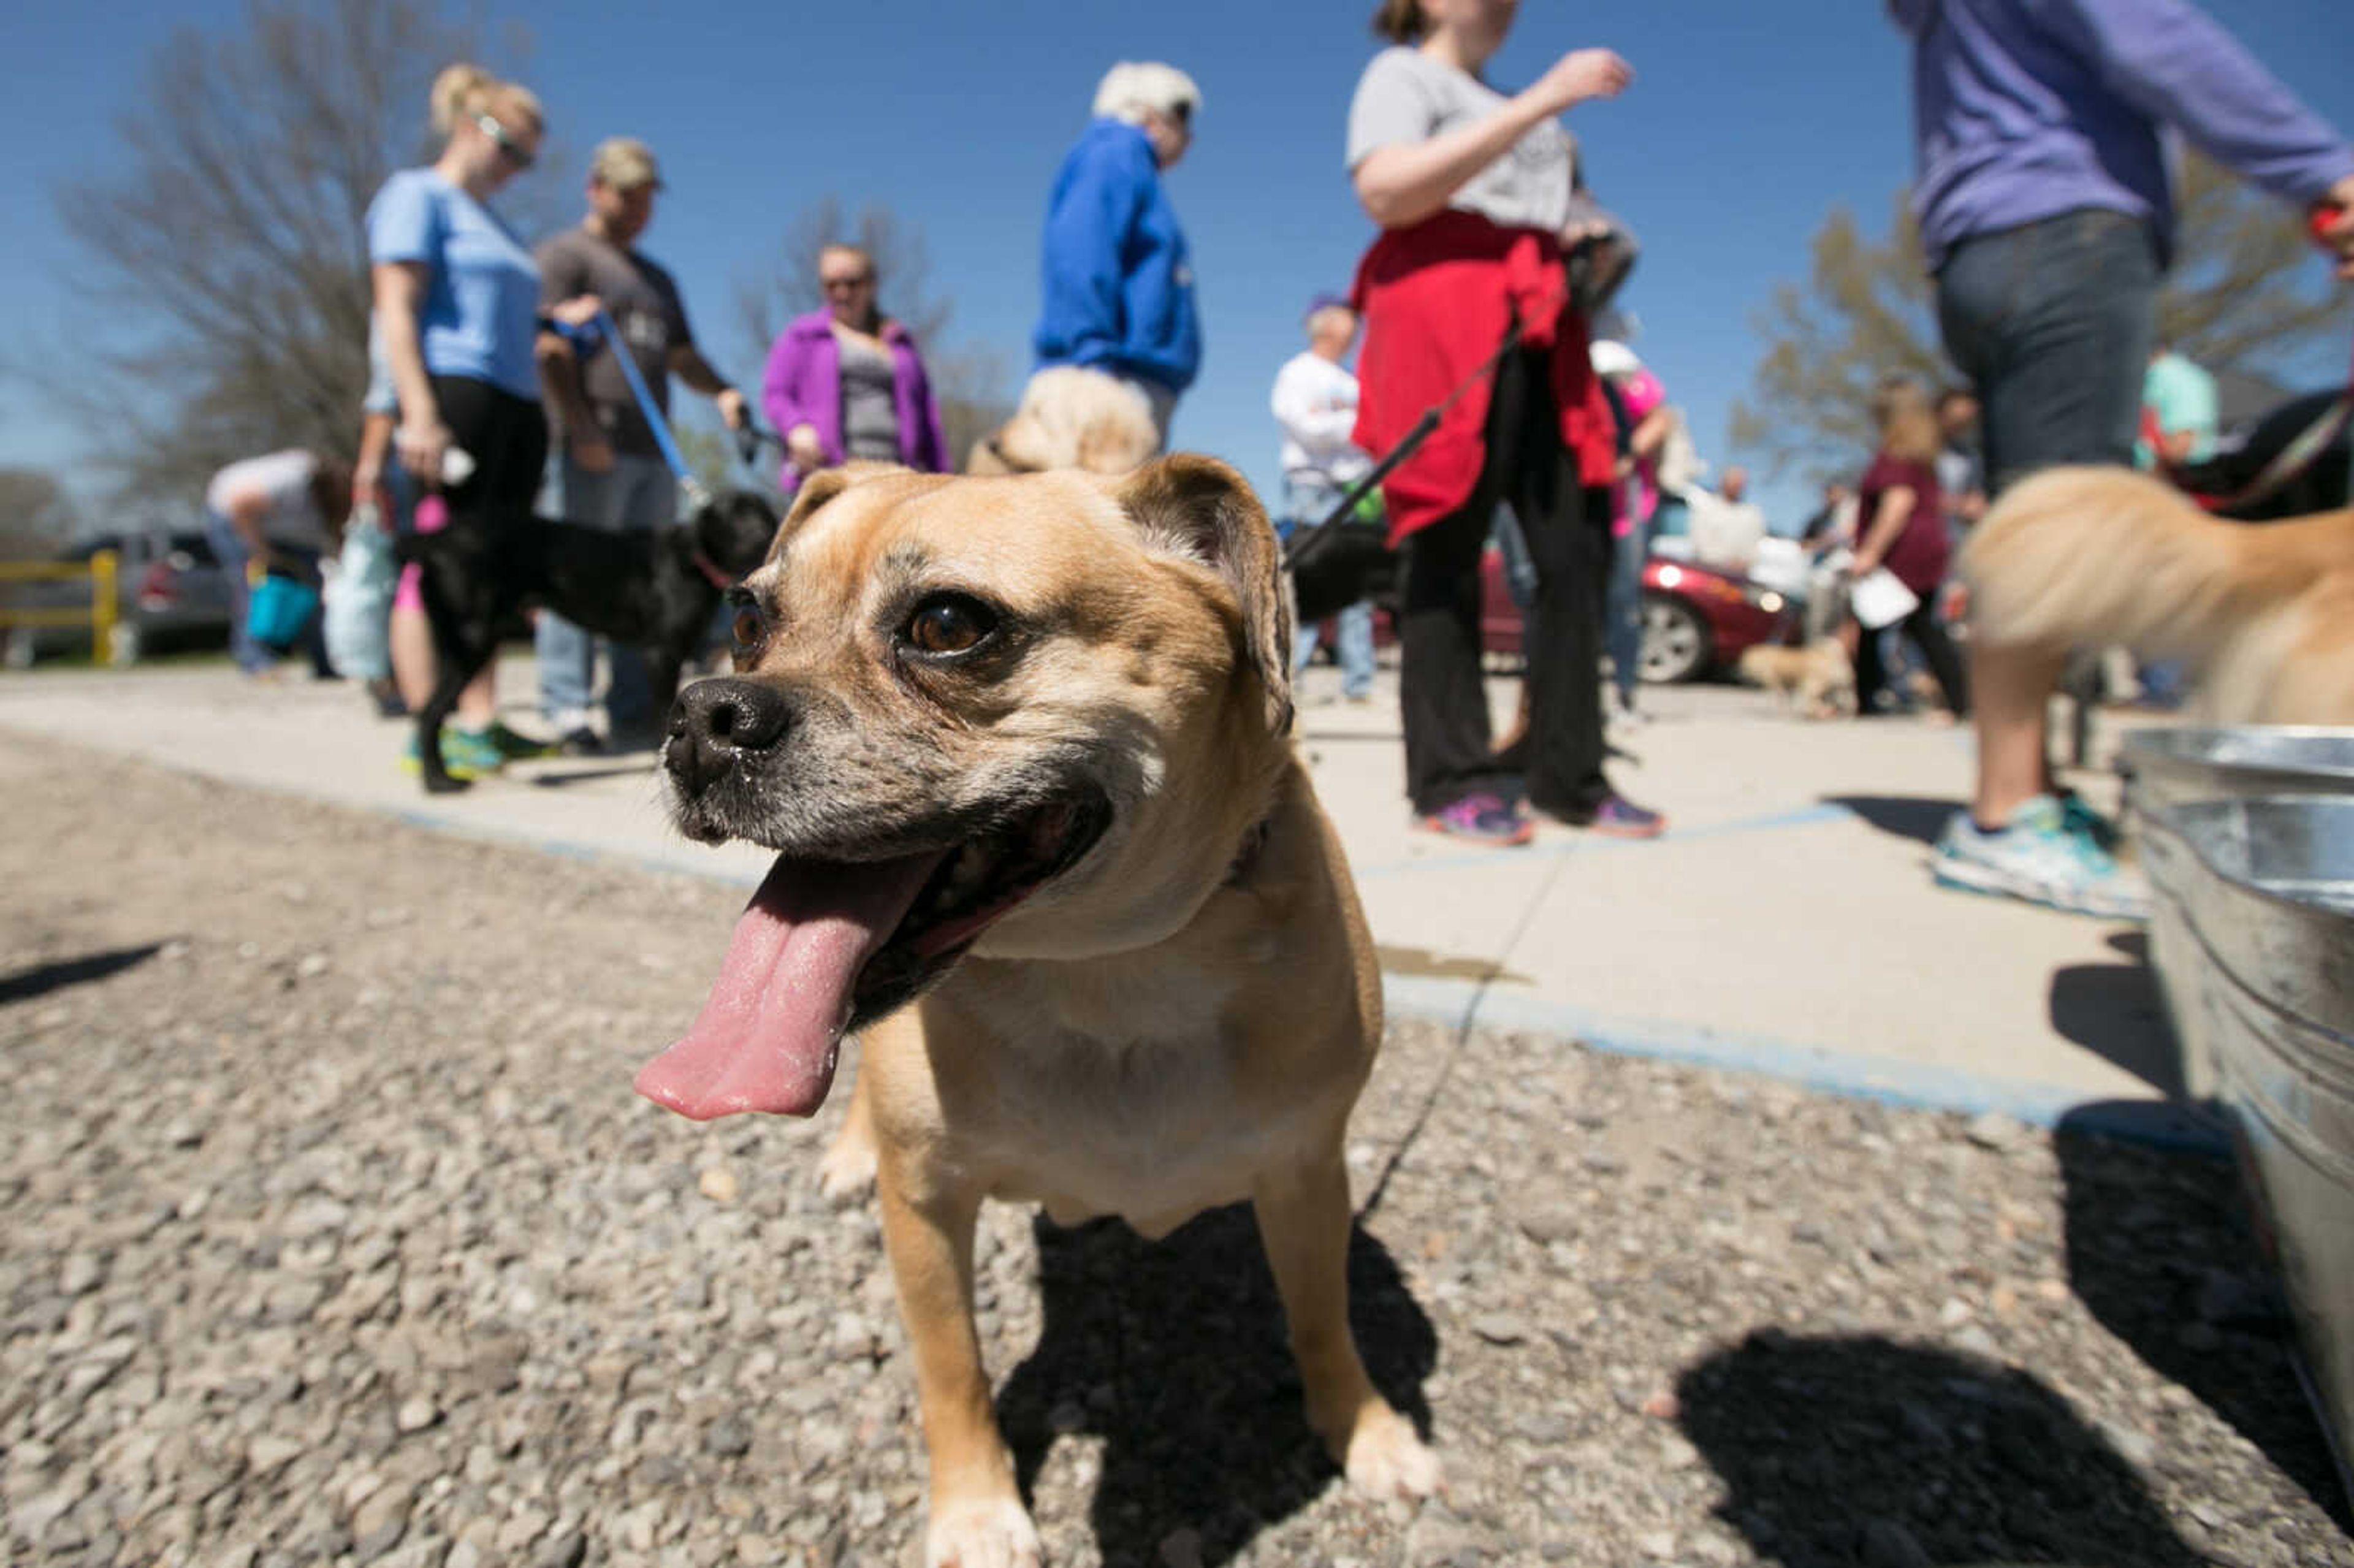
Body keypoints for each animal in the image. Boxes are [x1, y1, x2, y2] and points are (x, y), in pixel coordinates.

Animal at [400, 489, 777, 796]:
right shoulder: (661, 653)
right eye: (734, 515)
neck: (693, 558)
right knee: (430, 711)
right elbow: (663, 714)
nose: (760, 534)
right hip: (473, 639)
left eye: (763, 514)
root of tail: (437, 539)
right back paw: (438, 782)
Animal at [635, 452, 1431, 1563]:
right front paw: (977, 1509)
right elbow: (952, 1367)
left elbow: (1324, 1313)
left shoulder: (1308, 1170)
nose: (703, 715)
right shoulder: (927, 1204)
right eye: (749, 619)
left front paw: (1365, 1430)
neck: (1107, 970)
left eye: (946, 623)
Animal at [1732, 631, 1854, 715]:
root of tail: (1833, 657)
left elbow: (1779, 698)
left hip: (1812, 685)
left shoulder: (1775, 684)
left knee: (1814, 701)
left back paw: (1818, 711)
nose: (1738, 672)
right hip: (1840, 686)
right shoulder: (1786, 686)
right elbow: (1787, 699)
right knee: (1848, 699)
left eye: (1743, 665)